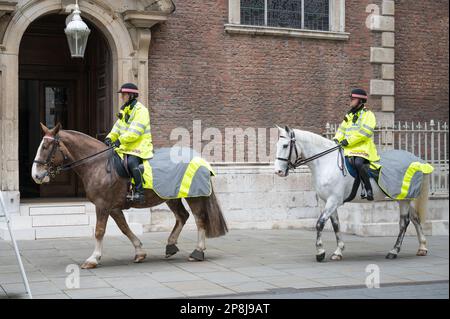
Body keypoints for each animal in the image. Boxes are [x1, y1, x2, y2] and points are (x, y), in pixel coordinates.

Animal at [31, 124, 229, 268]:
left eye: (46, 146)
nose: (36, 175)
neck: (98, 164)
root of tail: (199, 158)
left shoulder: (102, 205)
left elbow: (99, 231)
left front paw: (93, 259)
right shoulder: (114, 208)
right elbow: (124, 228)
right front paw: (139, 252)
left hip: (193, 196)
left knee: (200, 219)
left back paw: (197, 252)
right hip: (171, 197)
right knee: (182, 216)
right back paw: (171, 246)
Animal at [274, 125, 428, 262]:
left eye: (285, 146)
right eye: (277, 145)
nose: (278, 171)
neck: (326, 163)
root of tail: (417, 160)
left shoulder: (333, 200)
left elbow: (320, 223)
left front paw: (320, 252)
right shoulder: (327, 201)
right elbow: (336, 225)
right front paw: (338, 251)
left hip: (404, 199)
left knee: (404, 222)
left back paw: (394, 251)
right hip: (403, 197)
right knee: (415, 218)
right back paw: (422, 247)